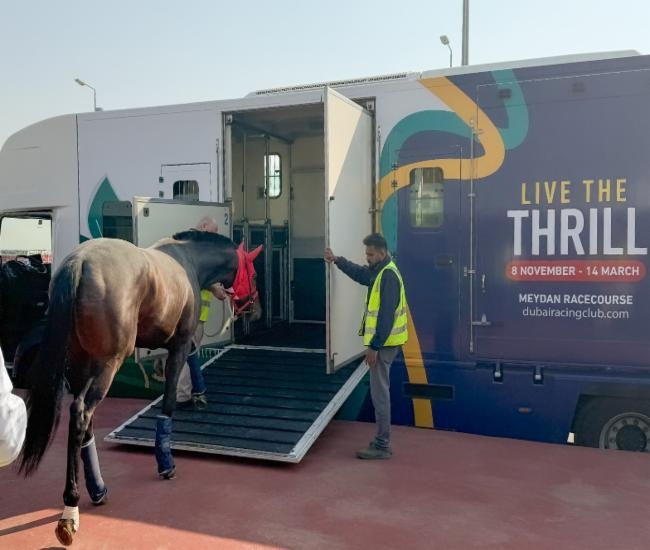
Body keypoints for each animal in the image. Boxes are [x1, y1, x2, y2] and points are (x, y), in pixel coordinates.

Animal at [18, 230, 260, 548]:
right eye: (253, 272)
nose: (255, 309)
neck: (188, 261)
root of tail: (79, 262)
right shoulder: (179, 345)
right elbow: (168, 401)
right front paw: (166, 462)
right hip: (108, 363)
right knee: (82, 413)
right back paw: (70, 509)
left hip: (80, 365)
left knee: (83, 420)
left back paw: (97, 490)